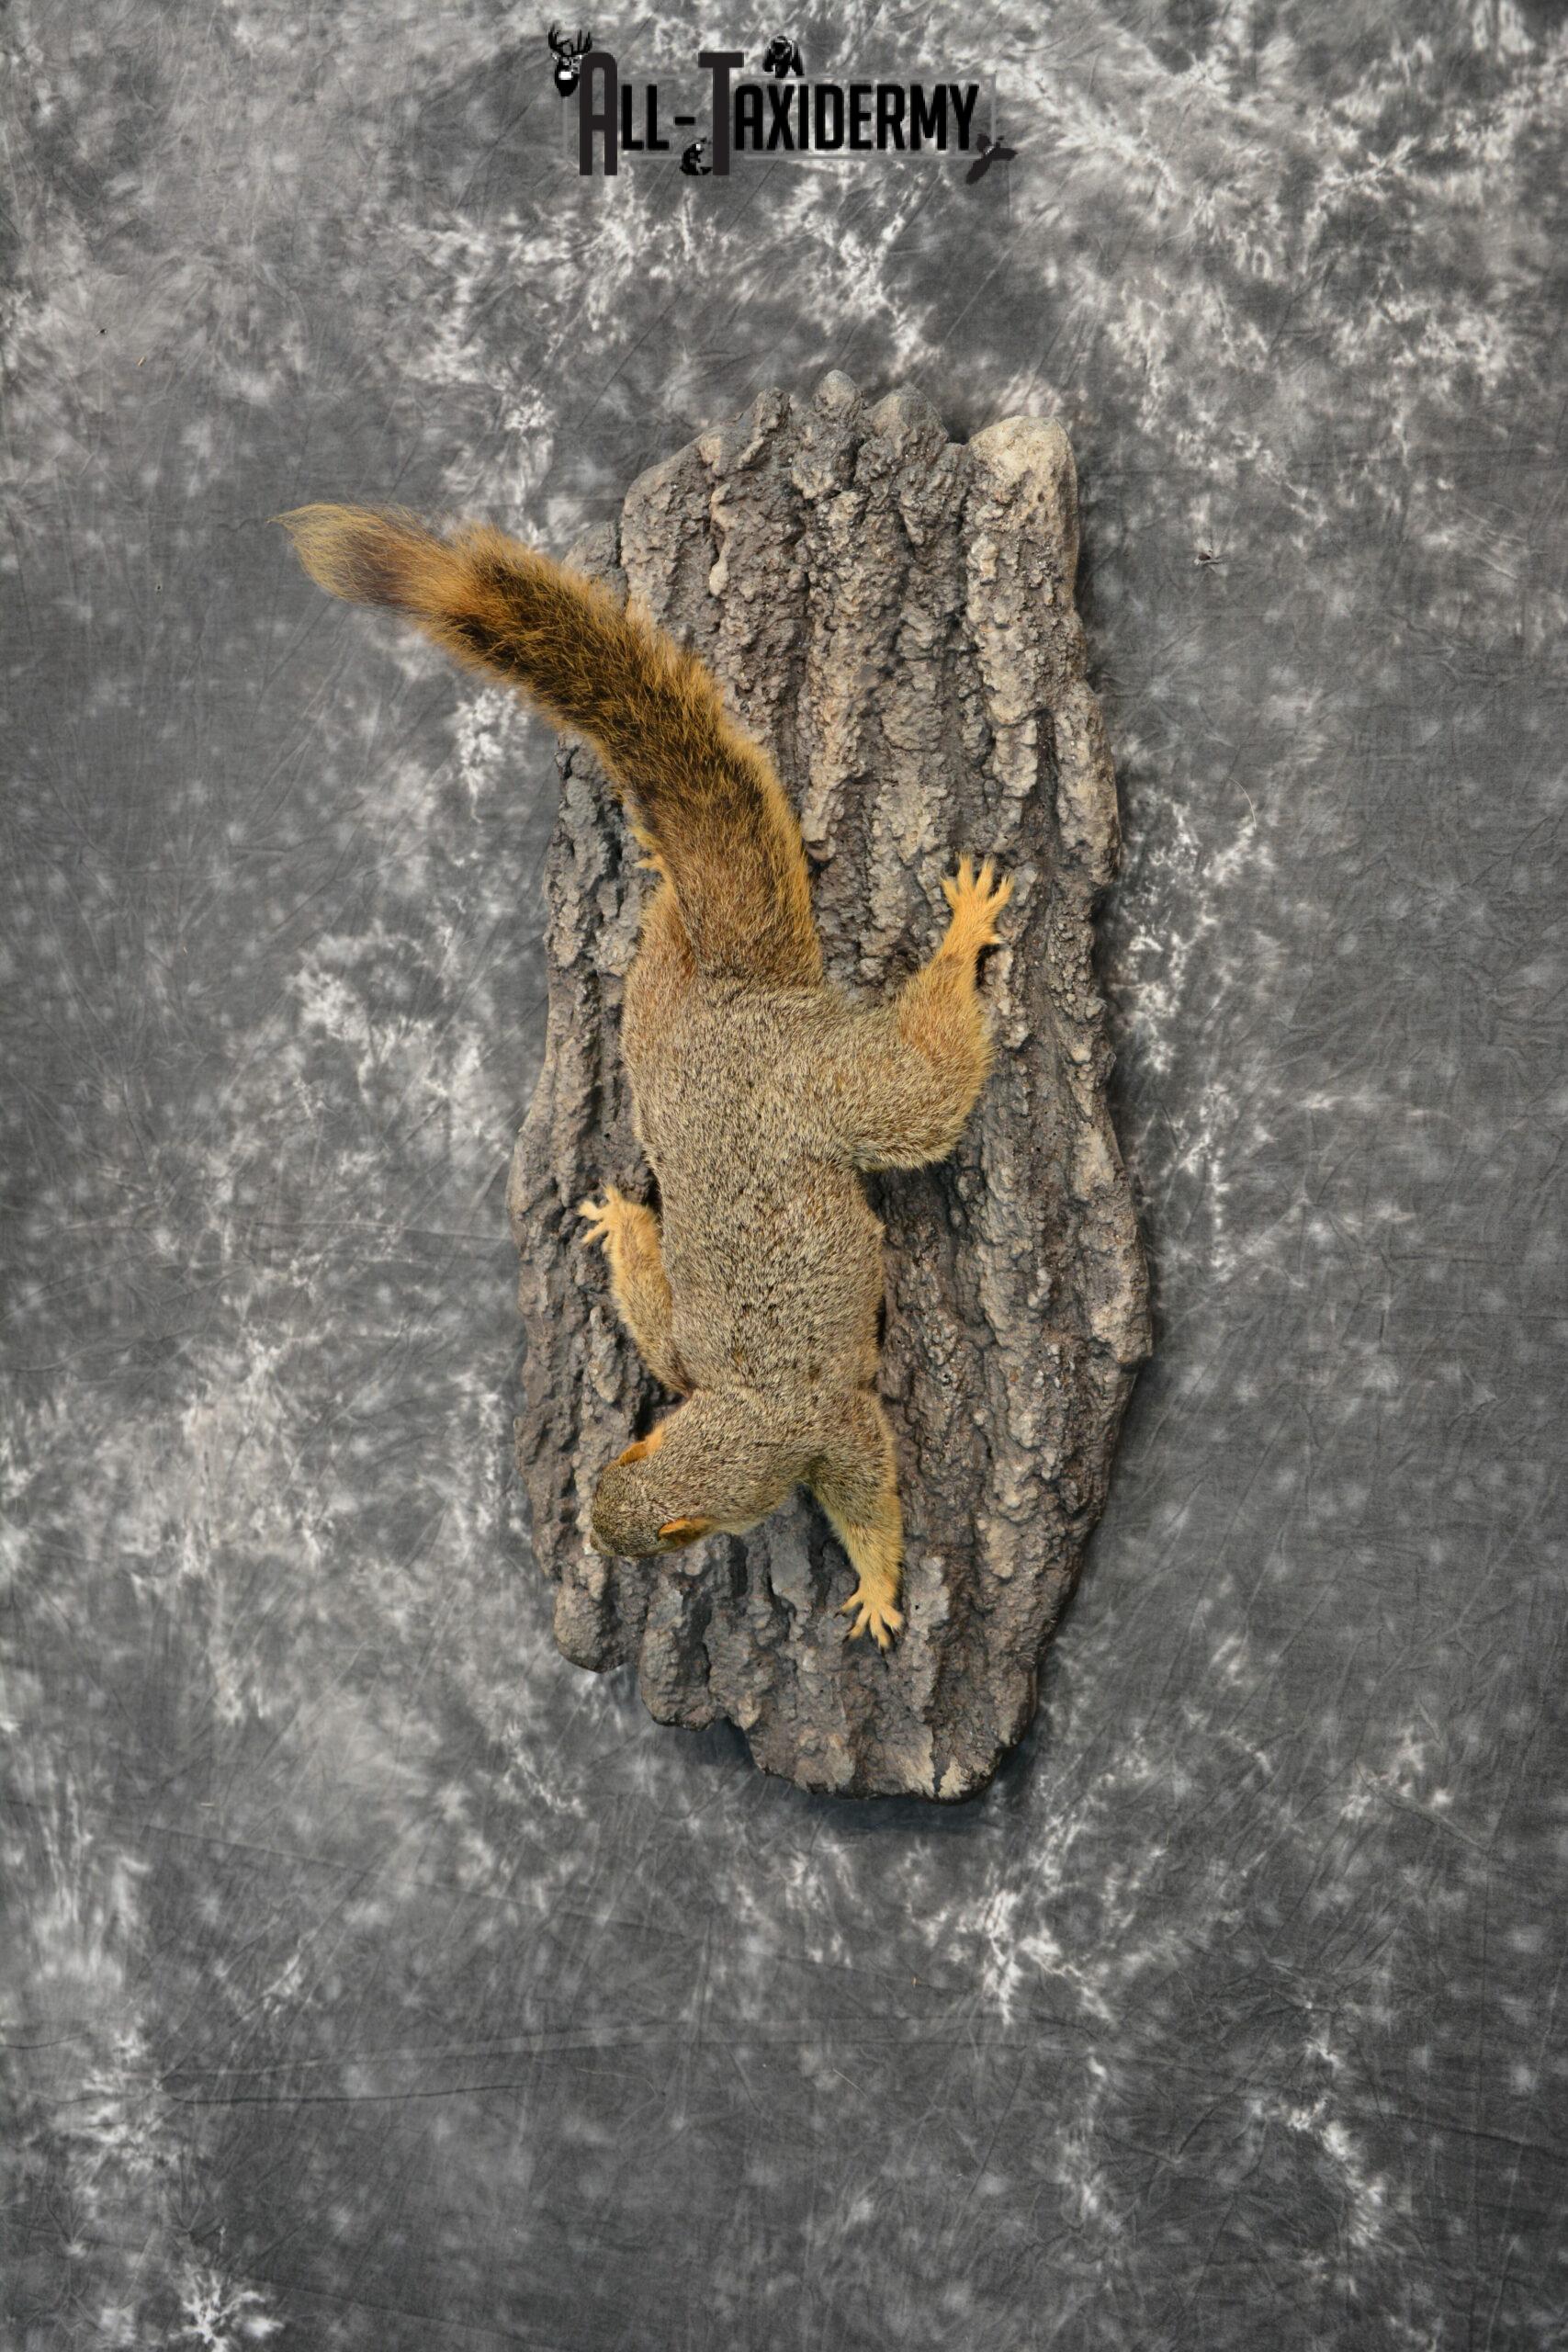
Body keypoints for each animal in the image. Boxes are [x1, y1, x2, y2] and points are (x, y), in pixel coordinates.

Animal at [278, 503, 1011, 1648]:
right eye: (624, 1458)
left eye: (664, 1534)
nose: (598, 1530)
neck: (741, 1415)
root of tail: (741, 997)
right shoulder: (689, 1371)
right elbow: (659, 1329)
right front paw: (623, 1221)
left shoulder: (832, 1425)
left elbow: (870, 1494)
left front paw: (881, 1591)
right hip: (655, 1018)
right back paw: (671, 873)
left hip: (836, 1087)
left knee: (924, 1089)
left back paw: (963, 932)